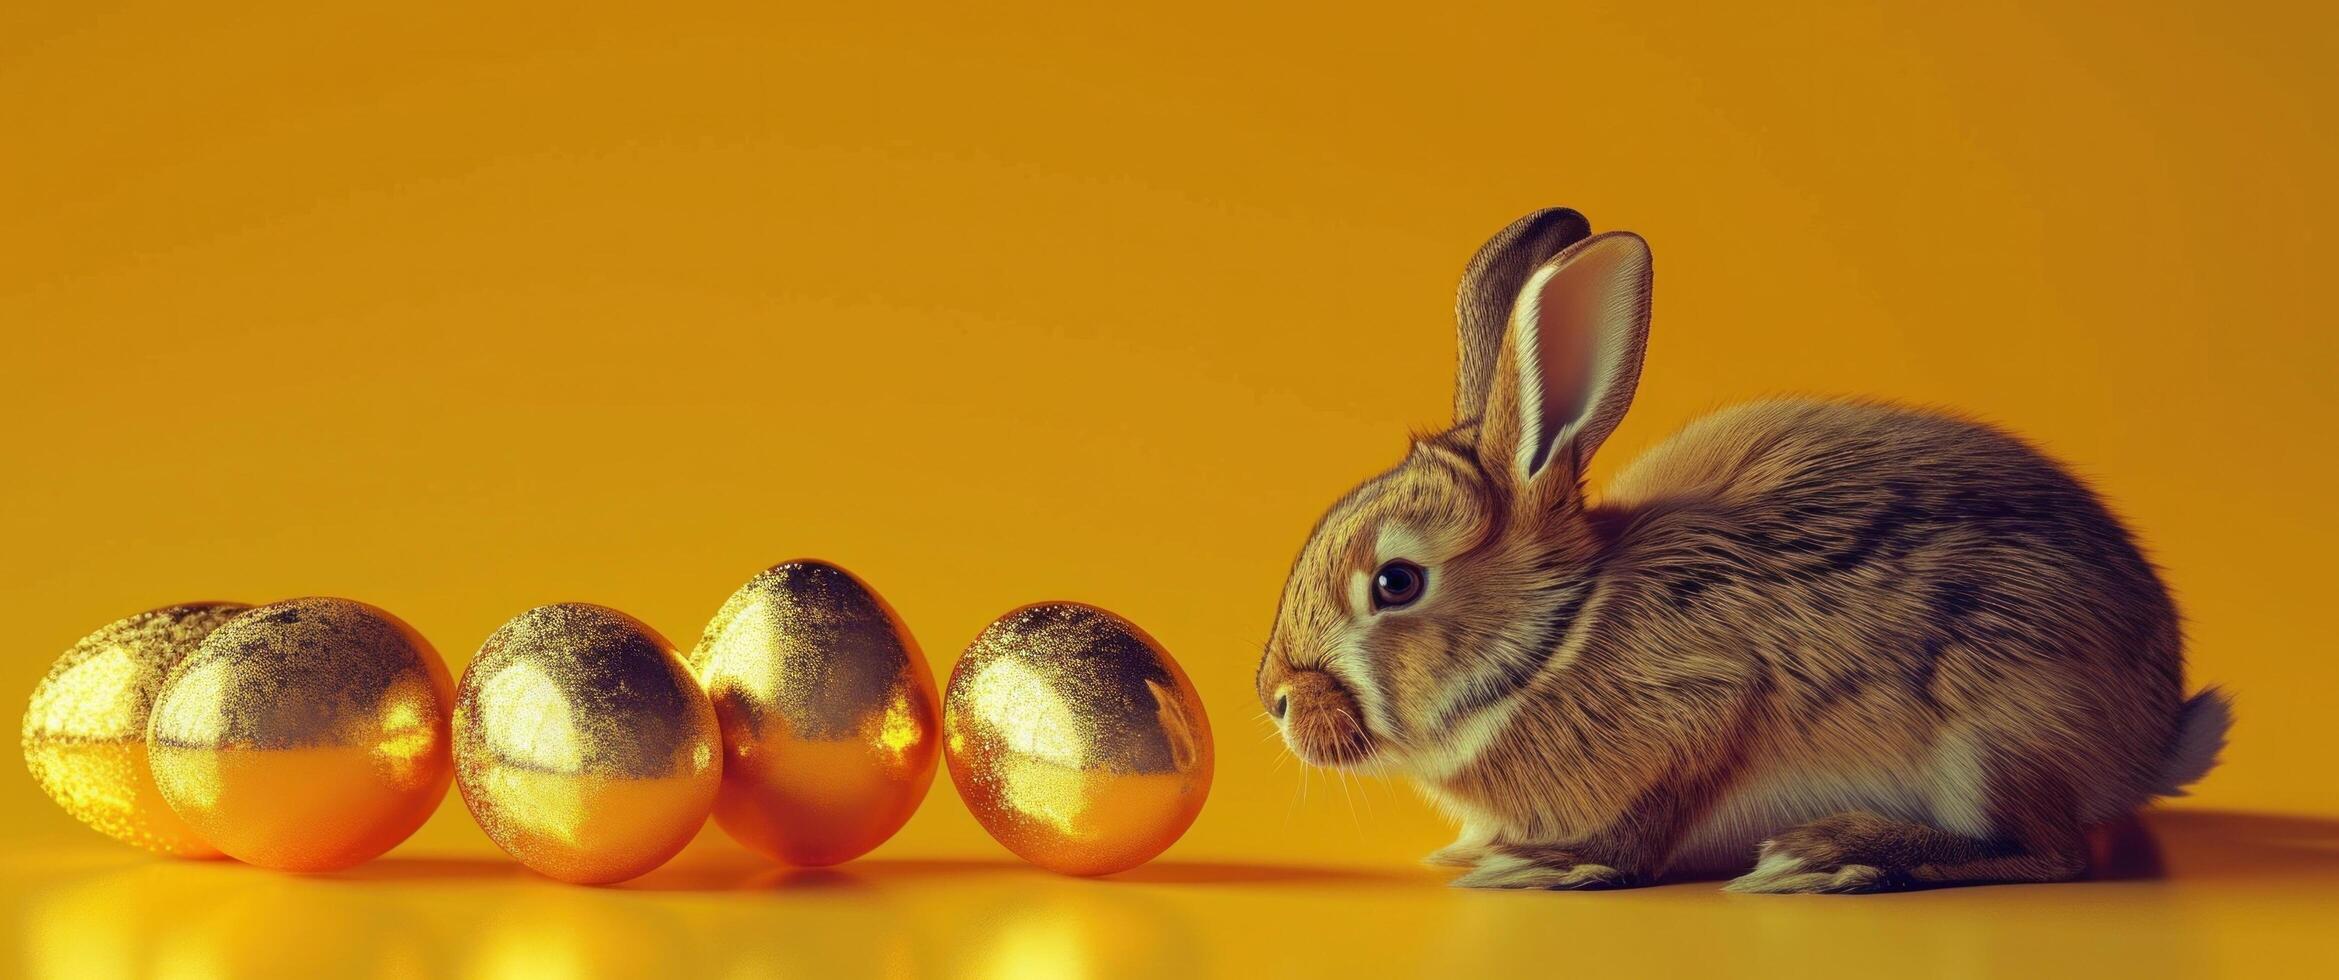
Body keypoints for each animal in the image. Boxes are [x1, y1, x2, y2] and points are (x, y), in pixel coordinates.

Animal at [1263, 209, 2226, 898]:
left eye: (1396, 583)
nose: (1272, 700)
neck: (1554, 640)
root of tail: (2147, 744)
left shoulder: (1711, 705)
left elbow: (1649, 820)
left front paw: (1549, 864)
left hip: (1999, 726)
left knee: (2050, 851)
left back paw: (1834, 857)